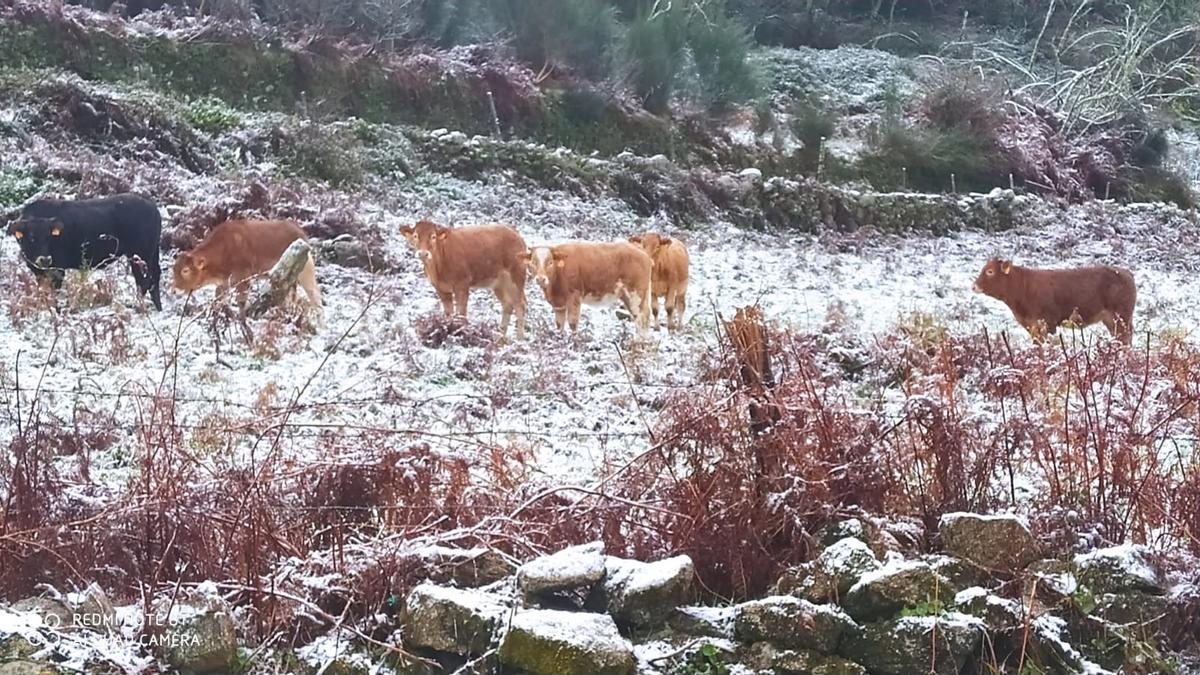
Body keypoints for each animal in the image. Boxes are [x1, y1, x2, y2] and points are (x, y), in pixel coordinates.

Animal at [7, 193, 163, 309]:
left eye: (48, 237)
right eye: (32, 237)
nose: (45, 259)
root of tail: (153, 208)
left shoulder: (58, 269)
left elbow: (54, 293)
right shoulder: (38, 272)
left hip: (140, 254)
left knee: (144, 281)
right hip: (150, 253)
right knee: (153, 277)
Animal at [174, 219, 324, 317]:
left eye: (185, 270)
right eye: (174, 269)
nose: (174, 290)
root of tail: (299, 232)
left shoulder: (243, 277)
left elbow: (240, 301)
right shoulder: (224, 282)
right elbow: (219, 298)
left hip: (306, 272)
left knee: (315, 295)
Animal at [400, 219, 528, 336]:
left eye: (433, 236)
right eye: (415, 235)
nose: (423, 253)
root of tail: (514, 232)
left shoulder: (462, 284)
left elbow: (461, 313)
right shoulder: (440, 289)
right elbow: (449, 313)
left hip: (516, 276)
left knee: (520, 305)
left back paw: (519, 339)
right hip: (499, 283)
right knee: (507, 304)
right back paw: (500, 338)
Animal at [520, 242, 652, 333]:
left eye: (550, 262)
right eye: (533, 262)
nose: (541, 279)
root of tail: (642, 252)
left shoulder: (574, 297)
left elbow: (573, 323)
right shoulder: (559, 304)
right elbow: (559, 324)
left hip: (635, 294)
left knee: (641, 319)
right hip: (629, 296)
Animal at [969, 255, 1137, 343]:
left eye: (990, 271)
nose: (974, 286)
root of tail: (1126, 272)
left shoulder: (1048, 323)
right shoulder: (1032, 326)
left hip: (1121, 316)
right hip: (1112, 319)